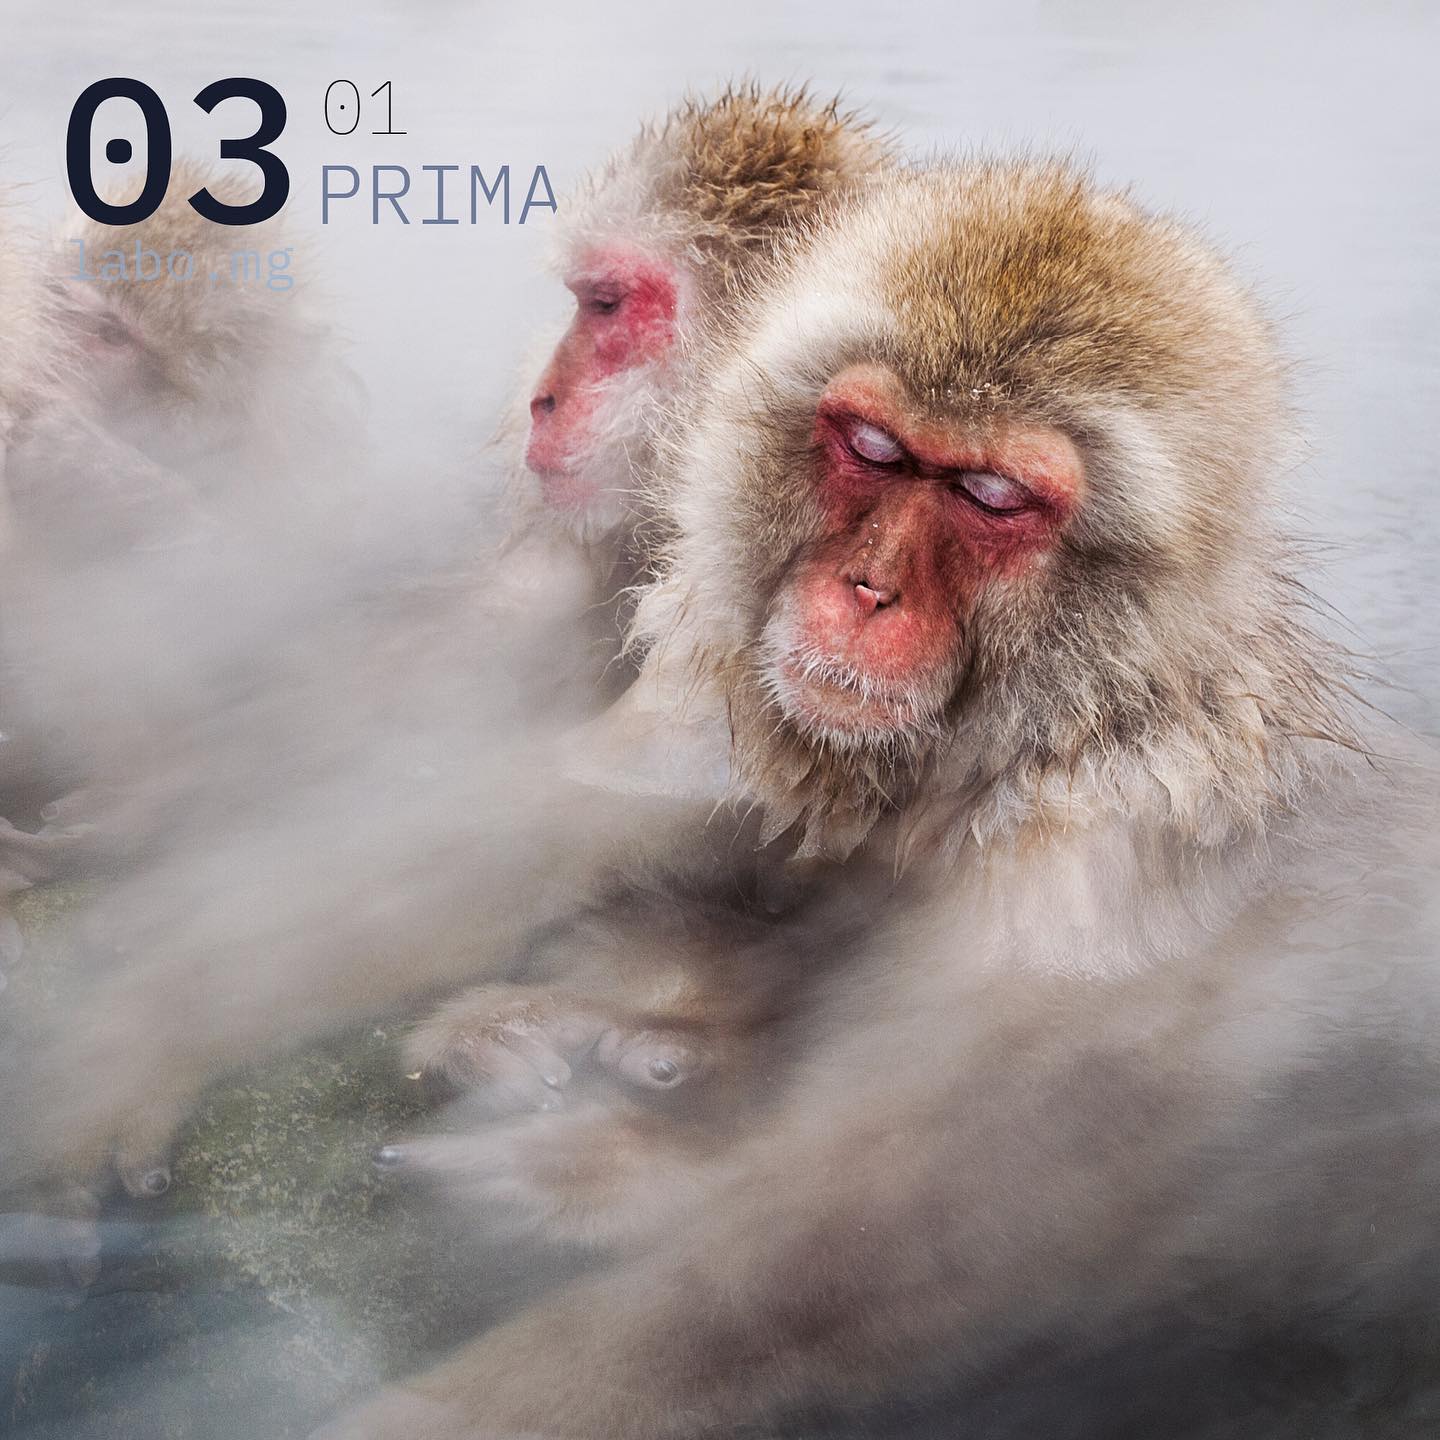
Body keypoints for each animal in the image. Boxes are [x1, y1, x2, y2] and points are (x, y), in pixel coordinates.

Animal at [313, 159, 1440, 1439]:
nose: (867, 587)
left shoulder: (1093, 865)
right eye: (872, 447)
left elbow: (958, 1213)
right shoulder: (722, 705)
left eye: (992, 495)